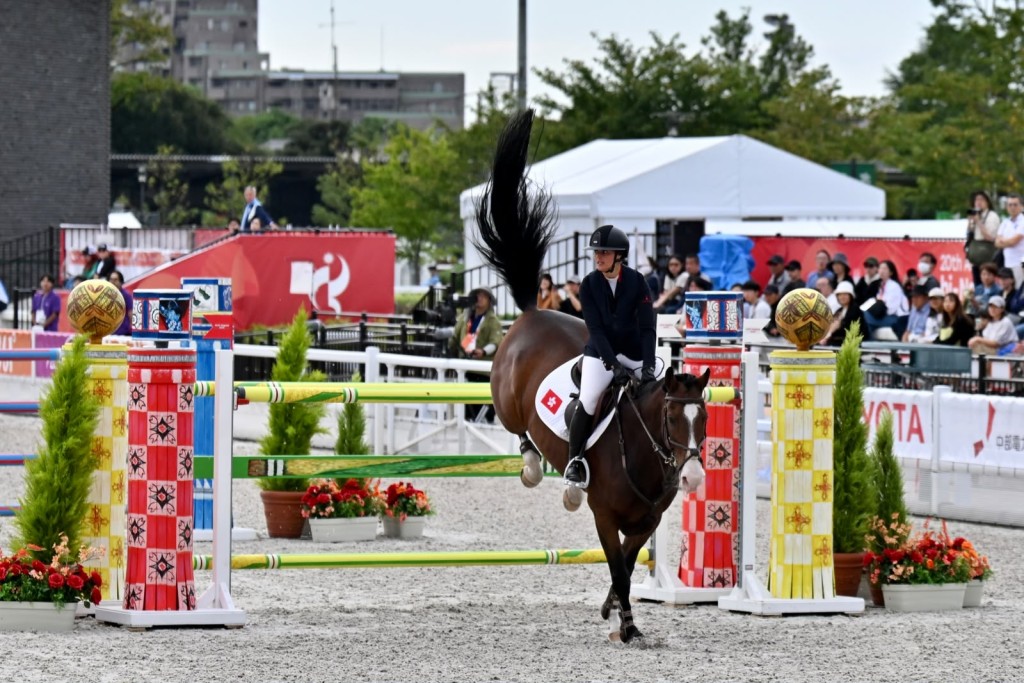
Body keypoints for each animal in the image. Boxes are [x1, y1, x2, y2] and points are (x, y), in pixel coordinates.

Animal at [473, 110, 710, 643]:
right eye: (671, 420)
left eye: (704, 420)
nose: (691, 477)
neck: (642, 451)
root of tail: (531, 311)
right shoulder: (604, 515)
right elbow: (618, 565)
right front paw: (626, 625)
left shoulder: (648, 519)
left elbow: (627, 561)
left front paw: (613, 610)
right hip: (508, 403)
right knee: (519, 431)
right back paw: (536, 468)